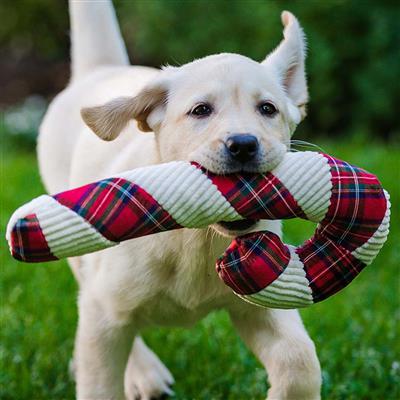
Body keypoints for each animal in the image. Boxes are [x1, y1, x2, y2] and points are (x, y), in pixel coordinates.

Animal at [37, 1, 322, 398]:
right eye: (201, 110)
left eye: (268, 109)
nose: (244, 145)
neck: (196, 237)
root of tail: (102, 70)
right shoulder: (102, 310)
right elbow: (100, 381)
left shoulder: (259, 302)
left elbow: (300, 360)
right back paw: (145, 373)